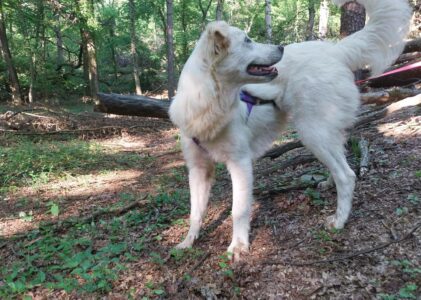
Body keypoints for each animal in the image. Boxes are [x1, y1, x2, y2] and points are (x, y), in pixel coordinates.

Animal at [168, 0, 410, 258]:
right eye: (247, 40)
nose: (281, 47)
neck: (208, 101)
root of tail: (334, 50)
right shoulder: (198, 169)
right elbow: (195, 212)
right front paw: (188, 242)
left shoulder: (240, 163)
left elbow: (238, 210)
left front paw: (238, 246)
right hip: (325, 133)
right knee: (340, 164)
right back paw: (329, 184)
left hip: (312, 133)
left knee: (347, 175)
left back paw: (339, 220)